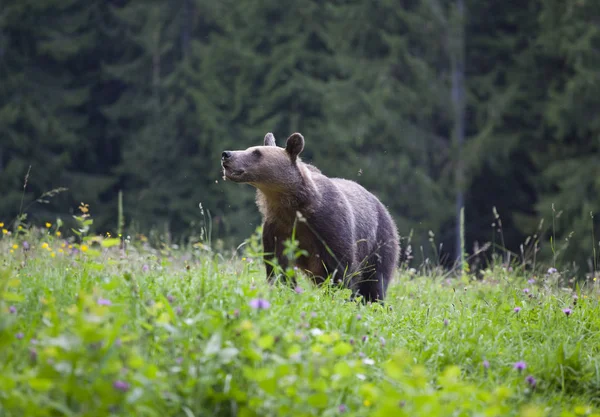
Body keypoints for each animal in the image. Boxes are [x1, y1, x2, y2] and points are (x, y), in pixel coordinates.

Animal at [220, 132, 398, 300]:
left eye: (256, 152)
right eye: (250, 149)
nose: (226, 154)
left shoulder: (330, 225)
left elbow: (341, 268)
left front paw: (341, 295)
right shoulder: (277, 227)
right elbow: (277, 265)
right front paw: (285, 289)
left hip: (379, 241)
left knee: (375, 280)